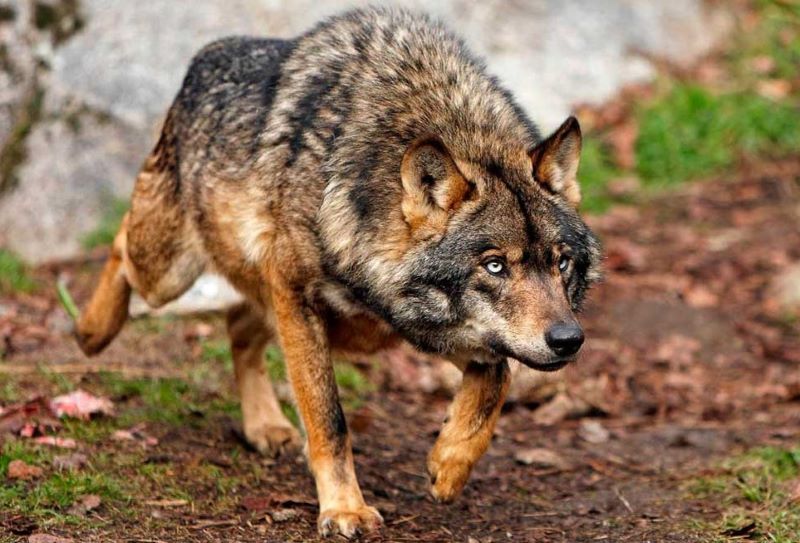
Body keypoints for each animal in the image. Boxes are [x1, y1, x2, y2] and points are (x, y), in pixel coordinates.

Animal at [73, 7, 601, 538]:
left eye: (561, 262)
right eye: (494, 265)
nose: (568, 340)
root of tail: (208, 53)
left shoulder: (418, 324)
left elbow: (495, 379)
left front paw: (449, 464)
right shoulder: (298, 296)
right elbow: (330, 419)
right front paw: (345, 508)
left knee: (239, 324)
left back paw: (265, 426)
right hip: (169, 271)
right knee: (120, 244)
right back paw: (91, 331)